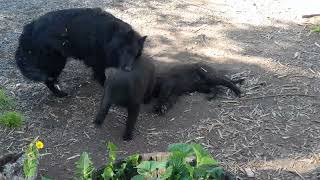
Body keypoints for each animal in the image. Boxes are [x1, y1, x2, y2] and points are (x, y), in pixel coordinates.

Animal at [16, 7, 147, 97]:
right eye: (123, 51)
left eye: (135, 53)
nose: (128, 69)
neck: (111, 36)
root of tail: (29, 29)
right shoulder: (98, 62)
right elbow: (102, 77)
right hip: (56, 62)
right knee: (49, 80)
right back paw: (60, 94)